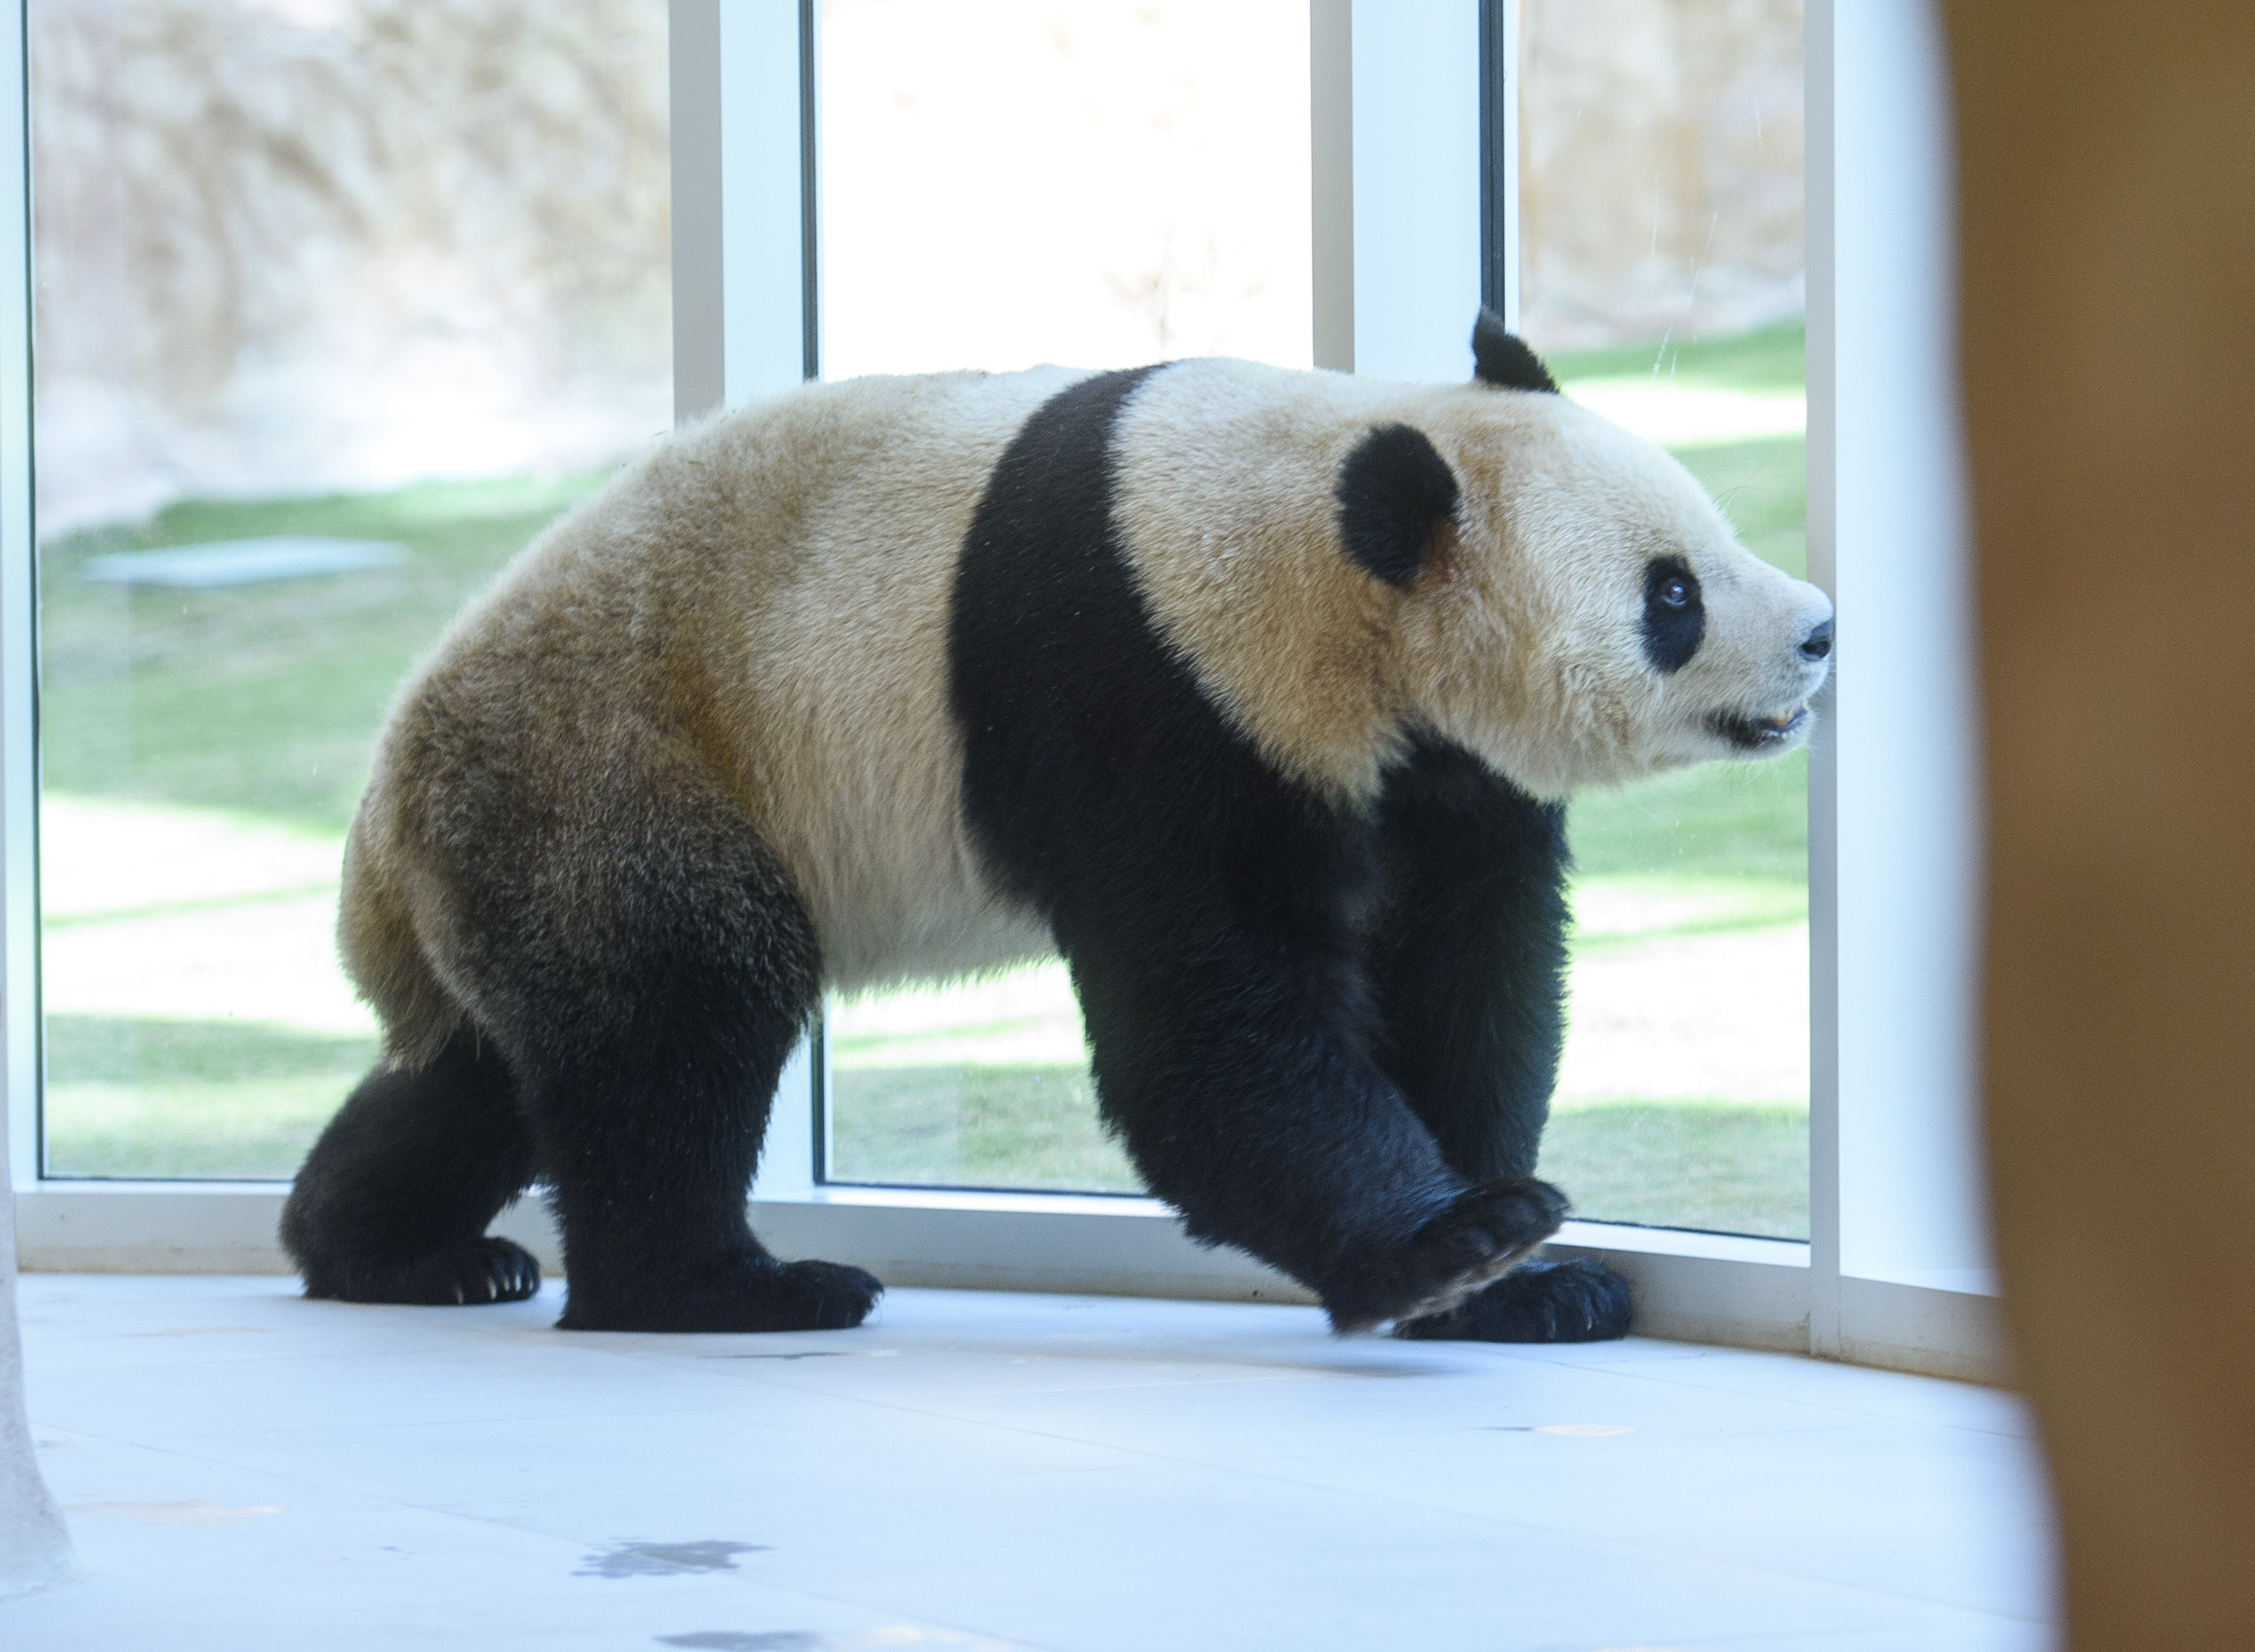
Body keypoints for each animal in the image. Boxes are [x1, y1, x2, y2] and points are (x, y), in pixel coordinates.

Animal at [277, 309, 1830, 1345]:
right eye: (1673, 592)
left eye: (1709, 538)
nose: (1817, 632)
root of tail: (379, 827)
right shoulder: (1147, 693)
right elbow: (1209, 1032)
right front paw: (1452, 1246)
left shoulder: (1422, 768)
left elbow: (1462, 977)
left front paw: (1532, 1278)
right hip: (621, 764)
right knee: (677, 1015)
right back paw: (720, 1288)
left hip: (527, 838)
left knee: (489, 1063)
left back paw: (390, 1250)